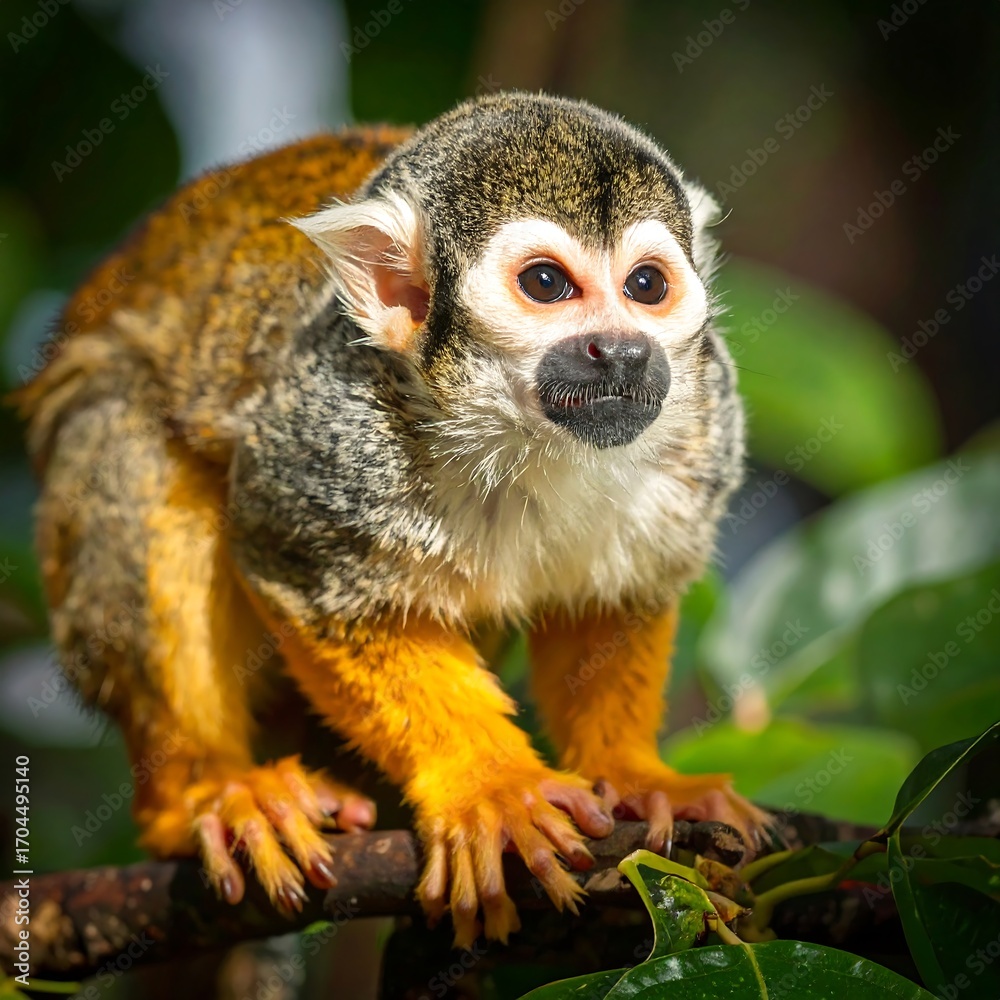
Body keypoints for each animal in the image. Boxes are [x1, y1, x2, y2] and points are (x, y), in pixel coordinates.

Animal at [13, 92, 769, 949]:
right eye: (547, 283)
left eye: (646, 285)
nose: (623, 351)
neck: (512, 433)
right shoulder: (334, 425)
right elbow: (305, 573)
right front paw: (491, 785)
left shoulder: (705, 422)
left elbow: (613, 601)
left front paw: (637, 775)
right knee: (126, 439)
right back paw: (202, 791)